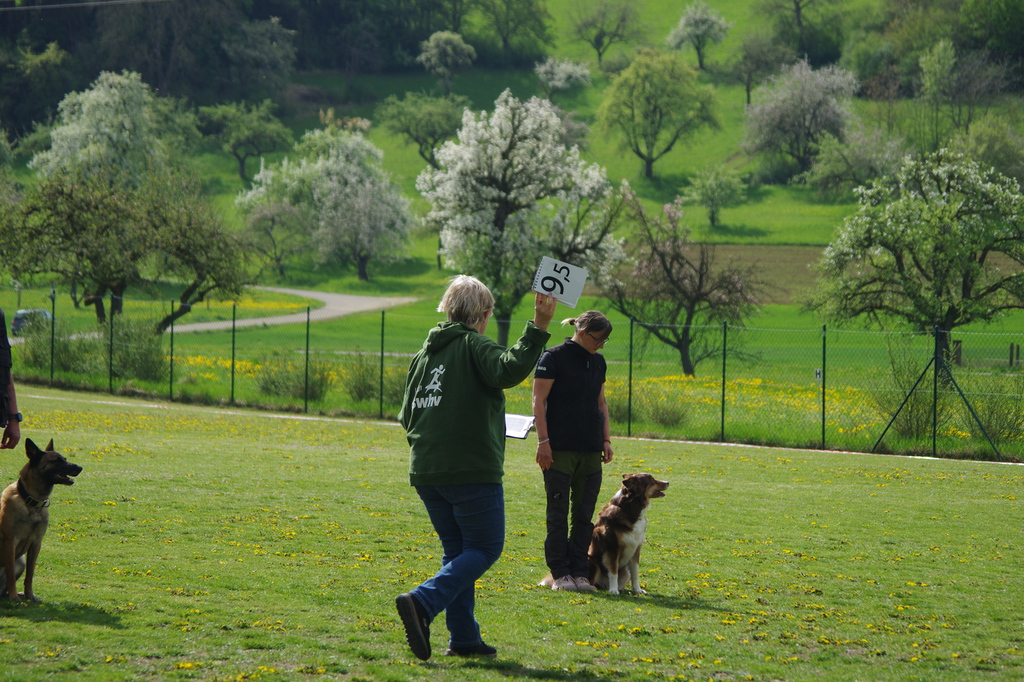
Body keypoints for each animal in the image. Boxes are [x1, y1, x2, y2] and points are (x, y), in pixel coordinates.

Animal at [0, 439, 82, 601]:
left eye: (65, 459)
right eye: (56, 461)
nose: (80, 467)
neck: (31, 502)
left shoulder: (36, 543)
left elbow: (30, 575)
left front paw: (29, 595)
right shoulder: (10, 542)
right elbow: (10, 574)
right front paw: (14, 597)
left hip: (21, 562)